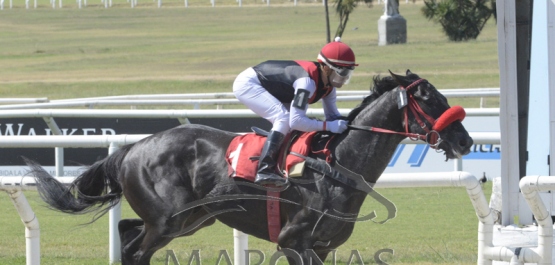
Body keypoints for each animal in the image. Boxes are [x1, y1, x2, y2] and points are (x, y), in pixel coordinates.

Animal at [26, 69, 474, 262]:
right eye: (430, 99)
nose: (466, 140)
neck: (337, 167)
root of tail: (133, 148)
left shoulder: (323, 246)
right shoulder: (294, 241)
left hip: (192, 219)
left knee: (127, 233)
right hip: (169, 220)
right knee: (135, 250)